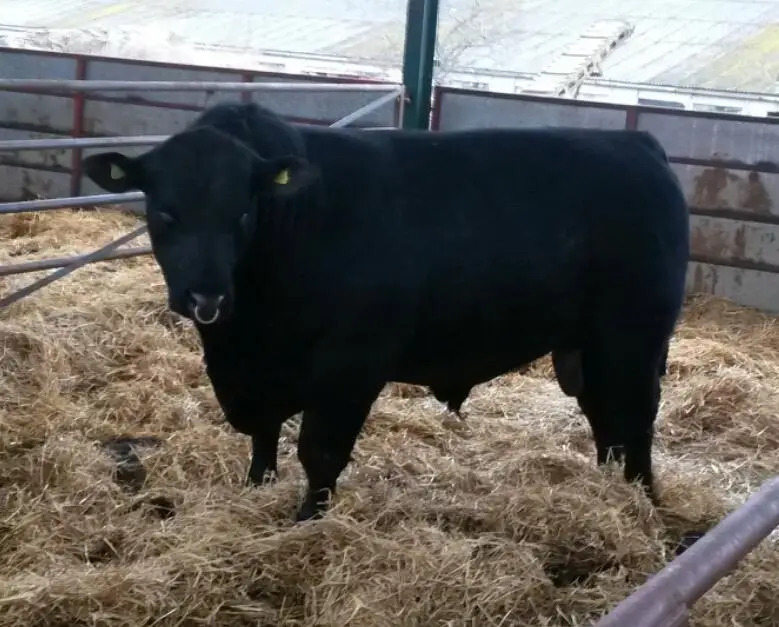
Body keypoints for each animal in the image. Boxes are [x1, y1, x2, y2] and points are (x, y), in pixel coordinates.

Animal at [81, 101, 689, 522]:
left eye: (242, 213)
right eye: (164, 212)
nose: (206, 298)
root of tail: (637, 144)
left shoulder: (350, 364)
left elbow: (320, 451)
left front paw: (306, 522)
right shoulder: (258, 373)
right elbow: (264, 437)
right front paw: (256, 490)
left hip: (635, 337)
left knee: (636, 418)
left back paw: (641, 499)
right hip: (588, 347)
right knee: (606, 419)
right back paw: (609, 491)